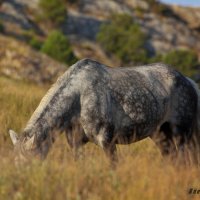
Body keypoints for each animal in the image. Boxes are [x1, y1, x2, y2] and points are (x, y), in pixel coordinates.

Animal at [9, 58, 200, 163]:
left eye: (29, 159)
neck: (80, 96)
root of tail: (189, 82)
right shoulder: (75, 143)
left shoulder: (107, 142)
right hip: (161, 135)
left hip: (182, 135)